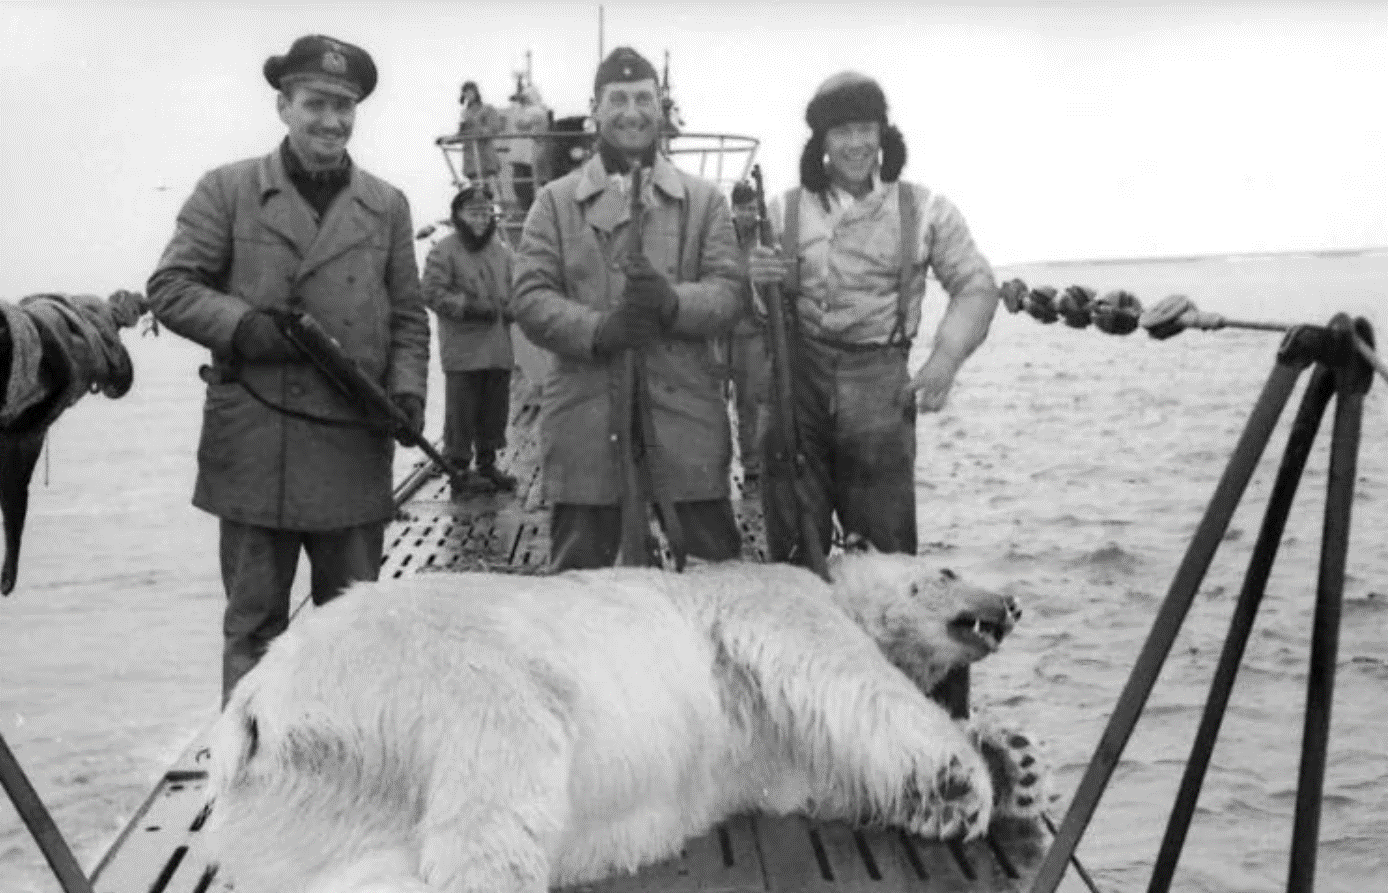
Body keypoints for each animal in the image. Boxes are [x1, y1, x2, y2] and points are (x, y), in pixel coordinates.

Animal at [206, 552, 1027, 893]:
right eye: (947, 569)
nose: (1014, 602)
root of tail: (258, 709)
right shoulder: (769, 599)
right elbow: (850, 678)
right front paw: (965, 779)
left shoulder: (770, 746)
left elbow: (820, 777)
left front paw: (1012, 761)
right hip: (425, 673)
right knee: (501, 766)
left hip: (306, 806)